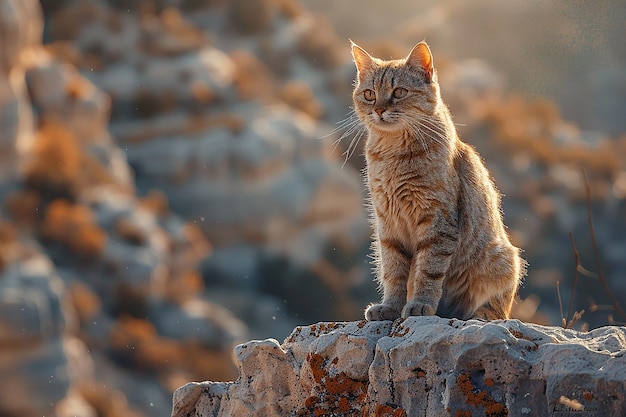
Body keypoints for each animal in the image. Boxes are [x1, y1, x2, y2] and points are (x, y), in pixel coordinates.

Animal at [352, 40, 520, 320]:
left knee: (496, 310)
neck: (392, 153)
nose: (379, 109)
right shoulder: (387, 224)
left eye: (399, 92)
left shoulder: (437, 222)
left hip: (504, 260)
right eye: (369, 94)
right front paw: (390, 307)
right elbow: (393, 271)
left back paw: (477, 315)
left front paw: (420, 305)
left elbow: (428, 271)